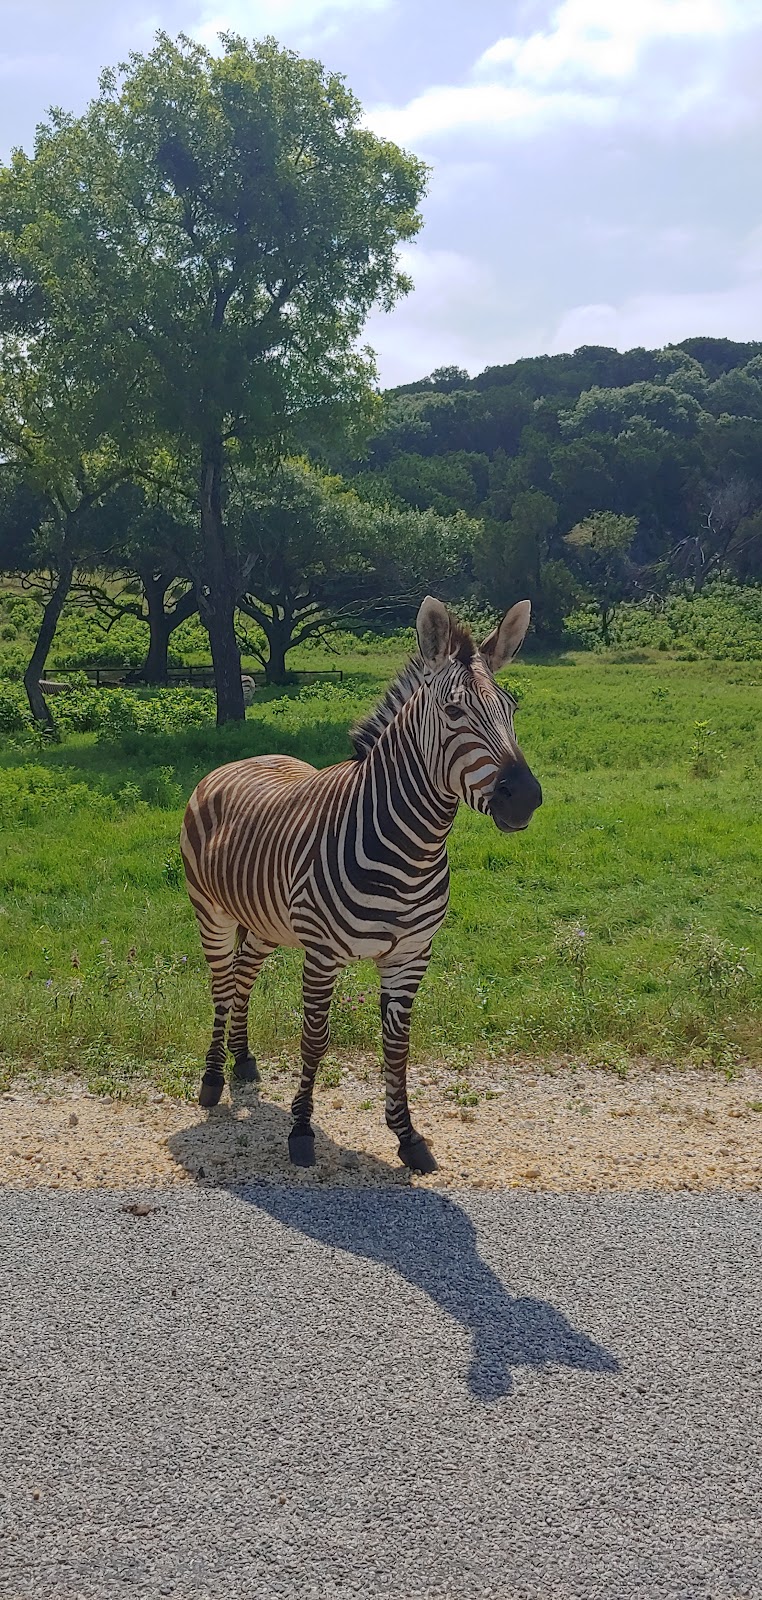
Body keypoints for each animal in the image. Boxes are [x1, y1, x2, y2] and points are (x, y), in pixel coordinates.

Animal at [180, 595, 541, 1171]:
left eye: (512, 710)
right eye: (454, 712)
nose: (525, 797)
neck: (409, 850)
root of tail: (241, 759)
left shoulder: (411, 955)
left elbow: (398, 1046)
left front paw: (408, 1136)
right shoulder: (323, 953)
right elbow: (315, 1039)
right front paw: (301, 1132)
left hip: (264, 920)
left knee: (242, 975)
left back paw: (242, 1061)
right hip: (210, 911)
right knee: (219, 986)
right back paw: (213, 1081)